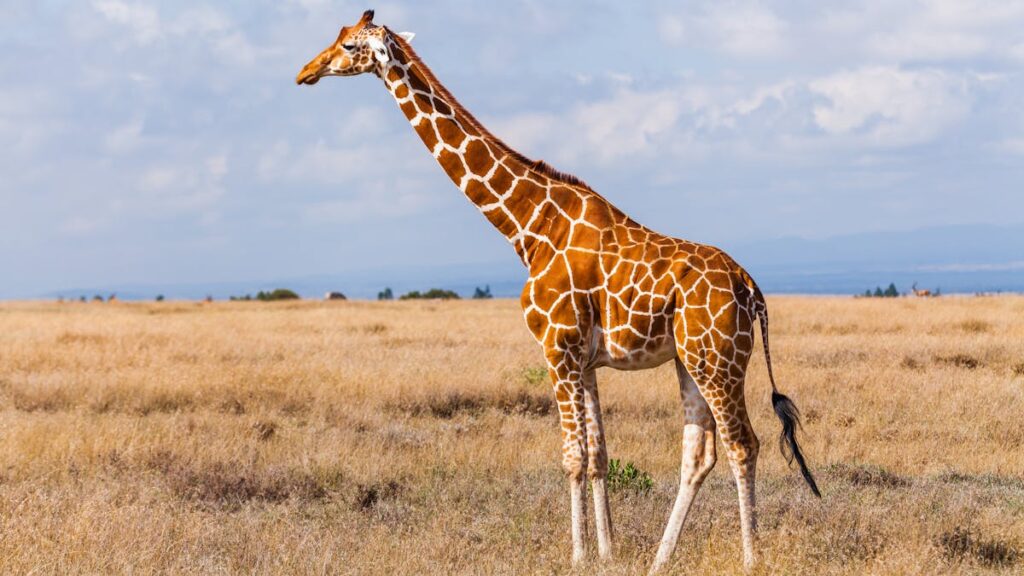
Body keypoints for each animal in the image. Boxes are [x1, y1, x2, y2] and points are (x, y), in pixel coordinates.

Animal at [296, 10, 821, 572]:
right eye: (335, 38)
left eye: (349, 46)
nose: (306, 72)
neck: (526, 226)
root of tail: (752, 289)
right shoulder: (584, 360)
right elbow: (598, 457)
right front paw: (608, 551)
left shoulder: (556, 348)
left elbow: (572, 457)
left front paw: (577, 555)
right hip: (690, 360)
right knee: (699, 455)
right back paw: (660, 559)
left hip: (718, 361)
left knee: (744, 445)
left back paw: (750, 558)